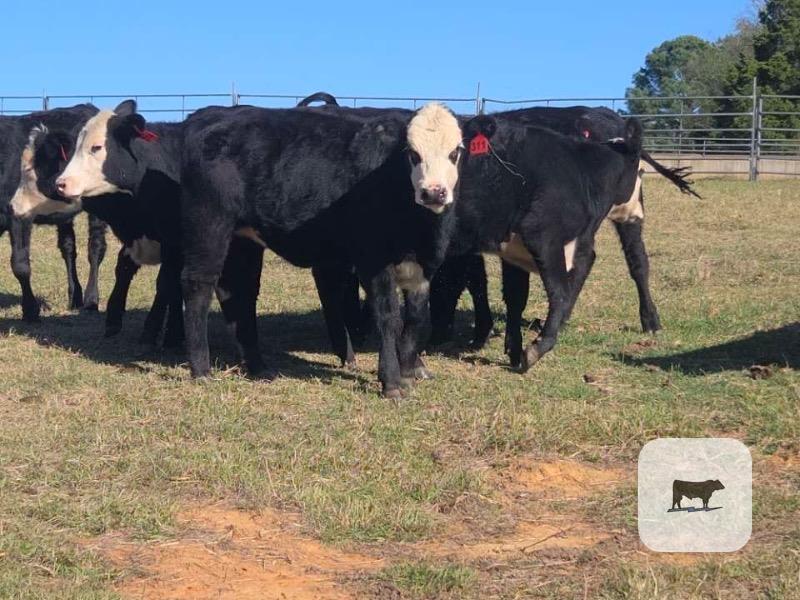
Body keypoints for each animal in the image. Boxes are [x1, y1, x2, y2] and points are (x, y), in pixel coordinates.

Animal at [1, 106, 107, 321]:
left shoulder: (17, 214)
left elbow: (20, 265)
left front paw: (30, 311)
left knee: (95, 248)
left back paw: (91, 300)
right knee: (68, 248)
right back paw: (75, 298)